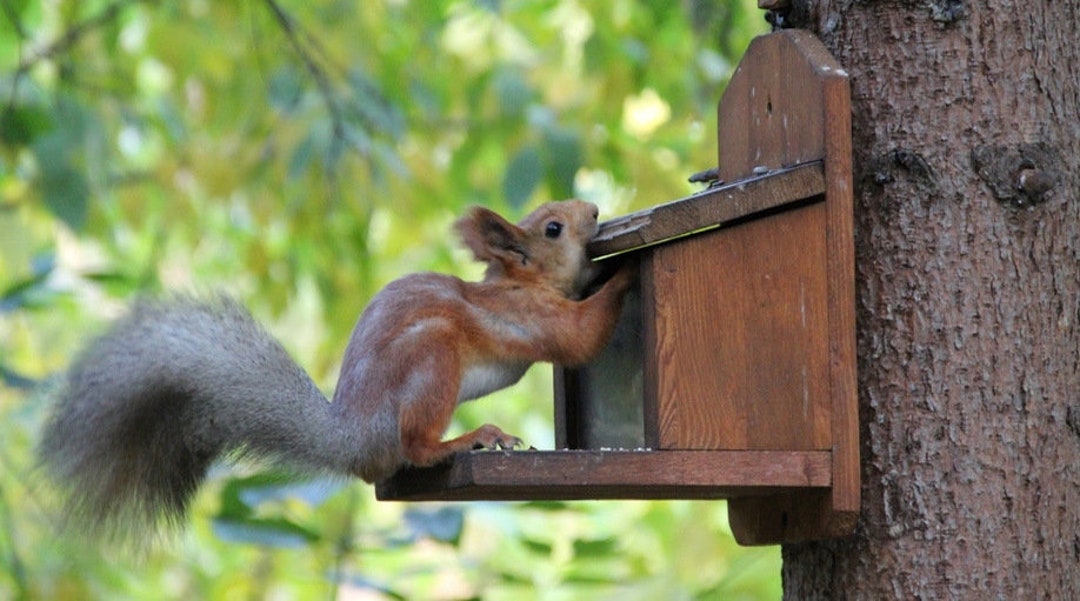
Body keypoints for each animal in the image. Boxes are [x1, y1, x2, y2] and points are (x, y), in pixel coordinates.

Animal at [38, 199, 634, 539]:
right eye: (554, 228)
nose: (594, 209)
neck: (521, 283)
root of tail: (355, 438)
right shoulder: (530, 318)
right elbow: (579, 336)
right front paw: (626, 277)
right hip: (432, 355)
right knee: (416, 444)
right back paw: (467, 439)